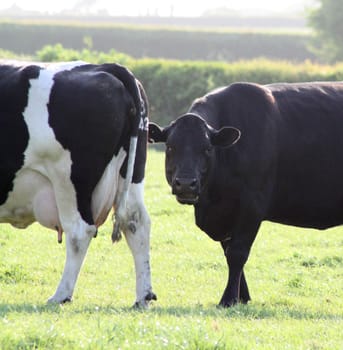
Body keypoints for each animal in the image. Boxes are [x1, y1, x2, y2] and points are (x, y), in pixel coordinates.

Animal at [0, 60, 157, 306]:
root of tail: (103, 67)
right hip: (131, 175)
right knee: (136, 223)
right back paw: (143, 296)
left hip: (68, 180)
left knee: (79, 231)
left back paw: (61, 294)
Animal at [149, 81, 343, 306]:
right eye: (170, 147)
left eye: (207, 149)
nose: (186, 184)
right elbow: (228, 252)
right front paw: (242, 297)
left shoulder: (253, 204)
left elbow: (238, 253)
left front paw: (228, 298)